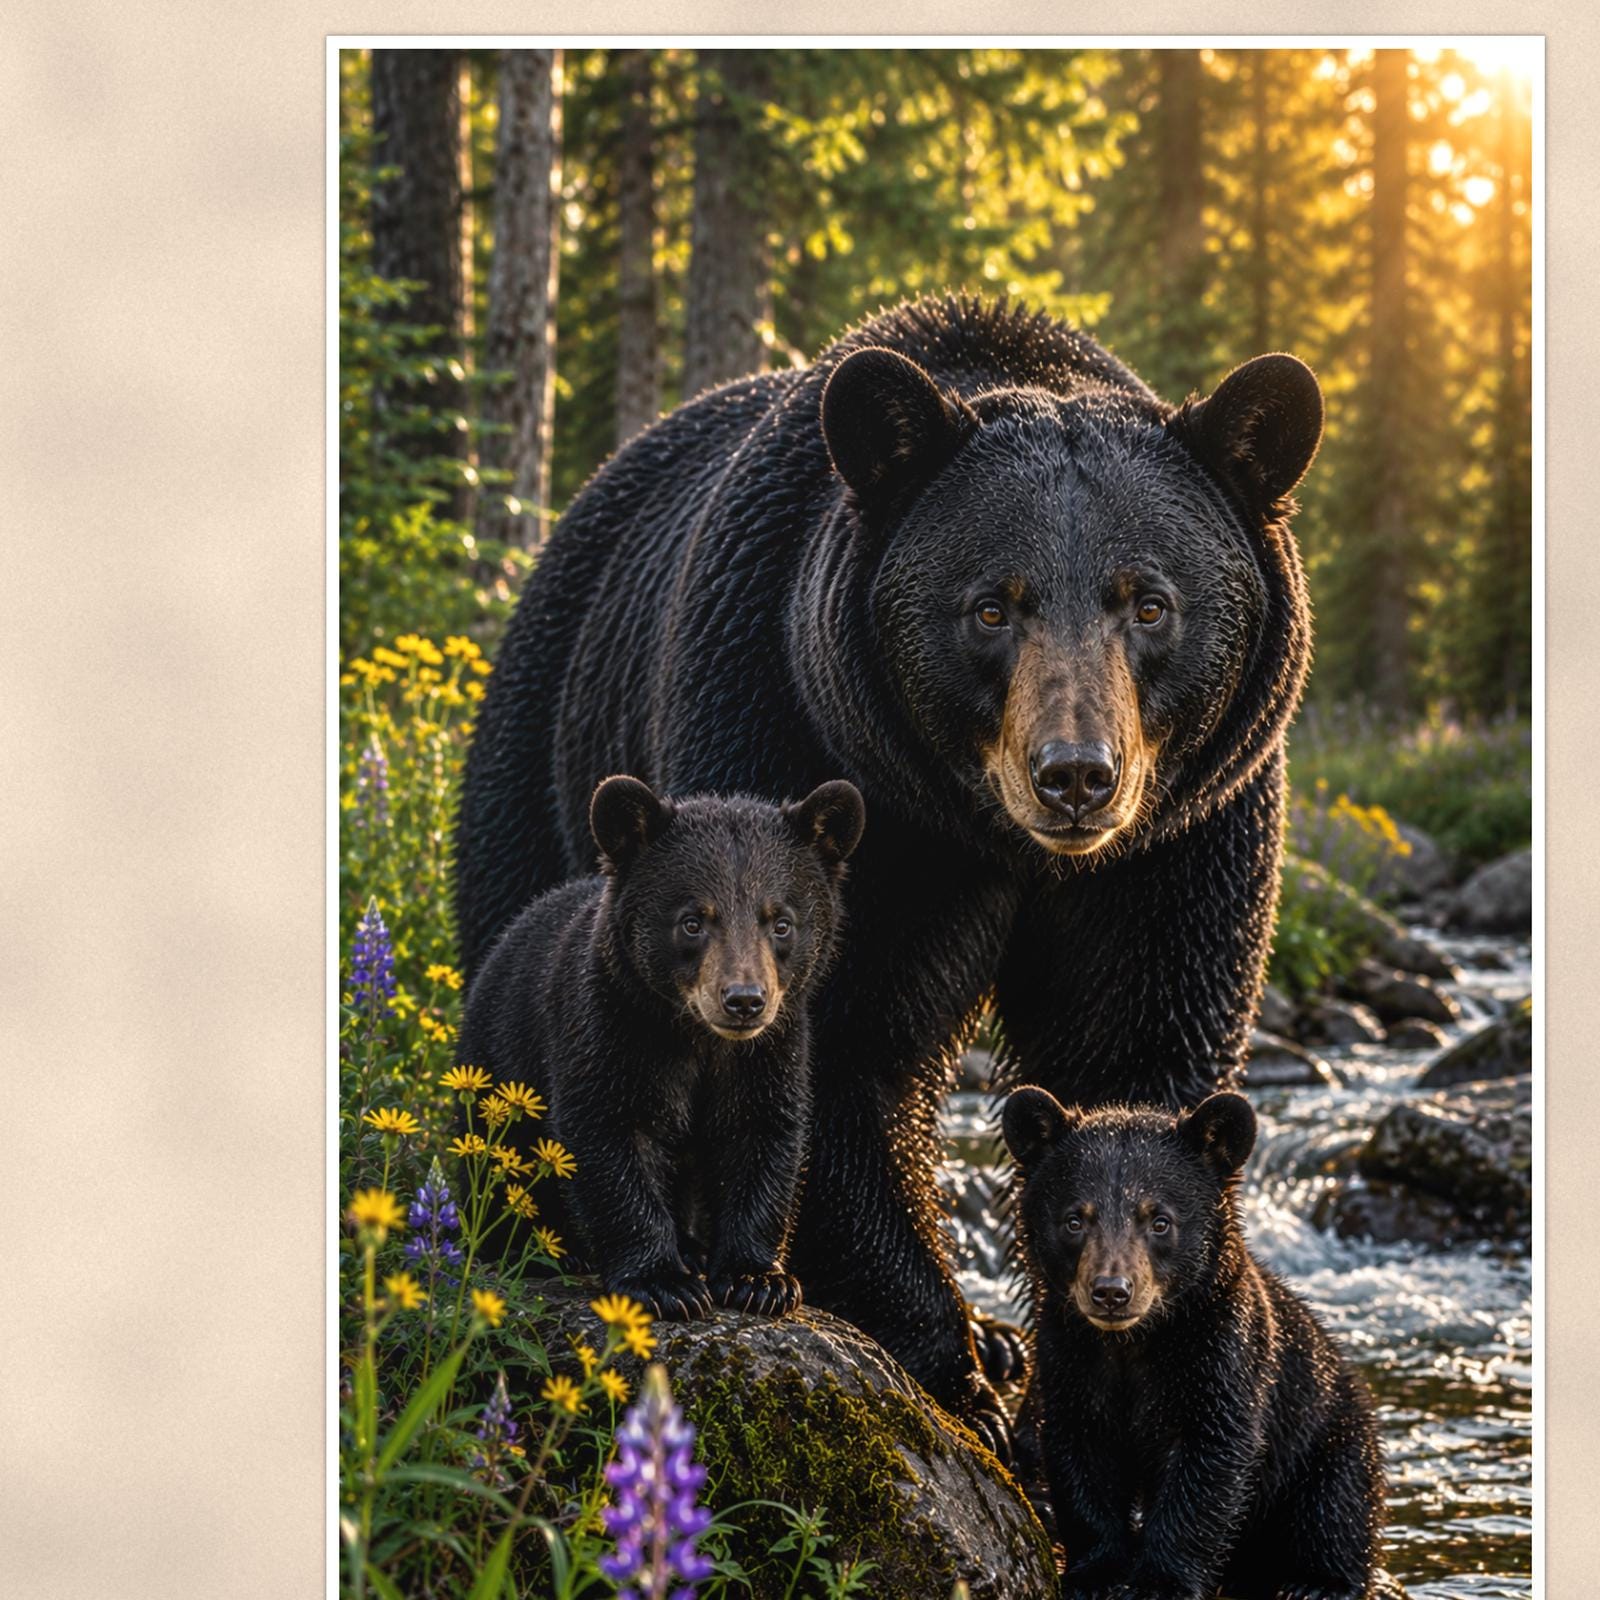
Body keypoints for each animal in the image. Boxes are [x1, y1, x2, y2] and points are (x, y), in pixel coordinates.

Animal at [456, 774, 865, 1320]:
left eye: (781, 922)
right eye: (693, 921)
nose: (744, 1000)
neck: (700, 1039)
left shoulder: (773, 1050)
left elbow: (763, 1135)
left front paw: (759, 1279)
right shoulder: (609, 1029)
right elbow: (610, 1134)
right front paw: (663, 1283)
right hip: (497, 1069)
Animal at [1003, 1084, 1386, 1600]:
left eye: (1159, 1220)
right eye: (1074, 1220)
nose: (1111, 1291)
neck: (1133, 1343)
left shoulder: (1220, 1355)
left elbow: (1208, 1464)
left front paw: (1160, 1581)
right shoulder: (1067, 1356)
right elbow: (1081, 1456)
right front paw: (1096, 1573)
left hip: (1326, 1433)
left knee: (1336, 1508)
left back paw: (1316, 1582)